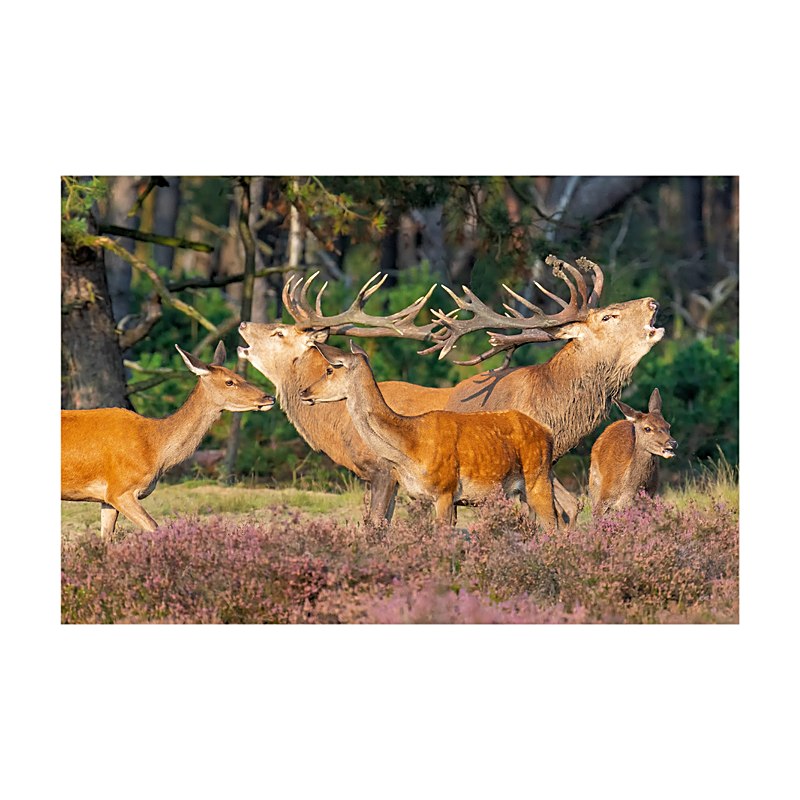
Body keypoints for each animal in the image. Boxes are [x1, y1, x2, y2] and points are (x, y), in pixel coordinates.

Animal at [61, 341, 275, 537]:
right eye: (229, 382)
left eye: (241, 376)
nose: (269, 397)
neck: (154, 448)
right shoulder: (120, 489)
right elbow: (155, 528)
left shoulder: (107, 498)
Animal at [299, 341, 558, 528]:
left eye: (329, 369)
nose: (304, 391)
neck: (412, 446)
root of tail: (547, 432)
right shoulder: (421, 496)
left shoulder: (446, 490)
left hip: (538, 478)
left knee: (554, 525)